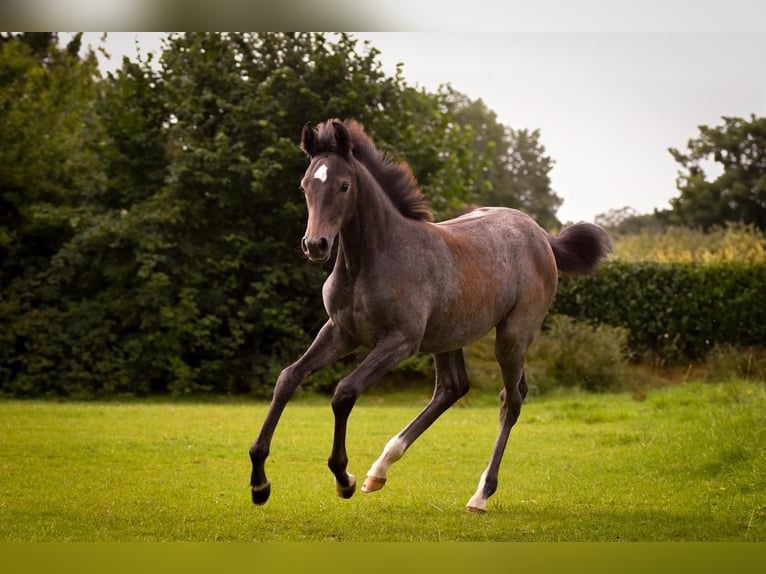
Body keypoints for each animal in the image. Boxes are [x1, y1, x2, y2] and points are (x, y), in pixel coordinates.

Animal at [249, 118, 612, 513]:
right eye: (305, 185)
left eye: (344, 185)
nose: (316, 245)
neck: (371, 260)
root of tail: (542, 236)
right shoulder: (340, 332)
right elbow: (288, 378)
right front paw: (259, 484)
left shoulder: (399, 342)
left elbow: (344, 392)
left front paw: (344, 478)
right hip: (449, 335)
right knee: (453, 388)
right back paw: (380, 470)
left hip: (513, 335)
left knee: (511, 400)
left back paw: (480, 495)